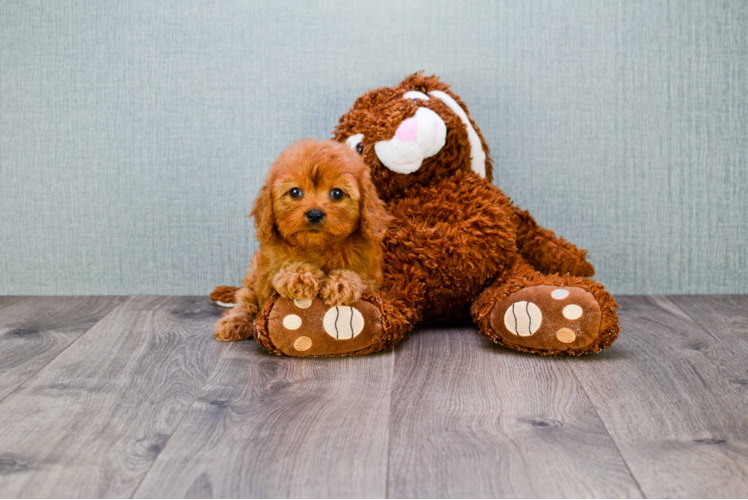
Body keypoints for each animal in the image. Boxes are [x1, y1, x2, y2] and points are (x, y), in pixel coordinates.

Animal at [213, 139, 388, 342]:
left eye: (337, 193)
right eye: (295, 192)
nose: (314, 214)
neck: (317, 246)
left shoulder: (371, 276)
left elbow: (359, 278)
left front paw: (340, 282)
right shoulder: (268, 274)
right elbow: (285, 268)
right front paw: (300, 276)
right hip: (253, 278)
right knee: (245, 300)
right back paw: (233, 323)